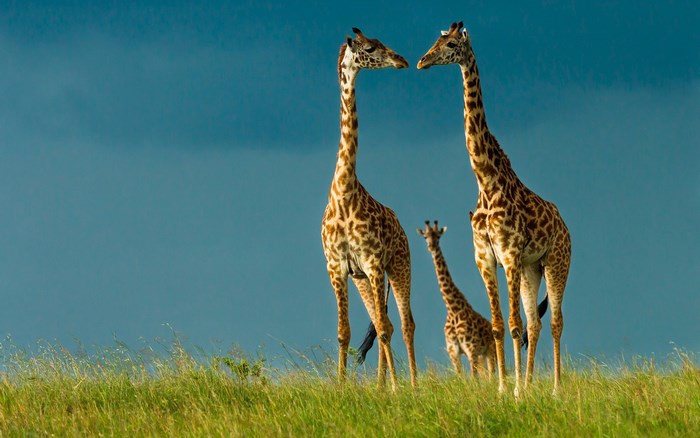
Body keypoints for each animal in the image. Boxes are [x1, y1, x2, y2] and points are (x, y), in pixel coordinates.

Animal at [321, 28, 417, 390]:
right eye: (371, 47)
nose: (401, 60)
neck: (344, 193)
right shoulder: (337, 267)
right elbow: (343, 332)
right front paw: (340, 386)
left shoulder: (375, 263)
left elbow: (388, 330)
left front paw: (397, 388)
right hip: (363, 277)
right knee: (380, 321)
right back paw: (380, 385)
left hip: (400, 266)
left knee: (403, 324)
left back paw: (409, 384)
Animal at [417, 220, 496, 378]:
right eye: (425, 237)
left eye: (438, 236)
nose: (431, 247)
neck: (453, 309)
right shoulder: (453, 351)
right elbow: (460, 376)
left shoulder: (471, 348)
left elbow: (473, 378)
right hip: (482, 355)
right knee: (487, 376)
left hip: (490, 351)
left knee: (492, 374)